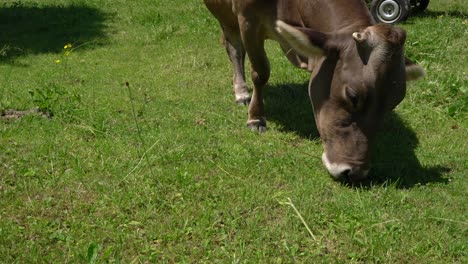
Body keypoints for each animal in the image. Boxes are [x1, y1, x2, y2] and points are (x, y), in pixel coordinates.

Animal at [204, 0, 424, 182]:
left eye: (393, 103)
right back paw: (241, 92)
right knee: (234, 49)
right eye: (353, 96)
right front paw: (256, 118)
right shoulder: (247, 19)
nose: (354, 172)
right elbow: (260, 72)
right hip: (226, 16)